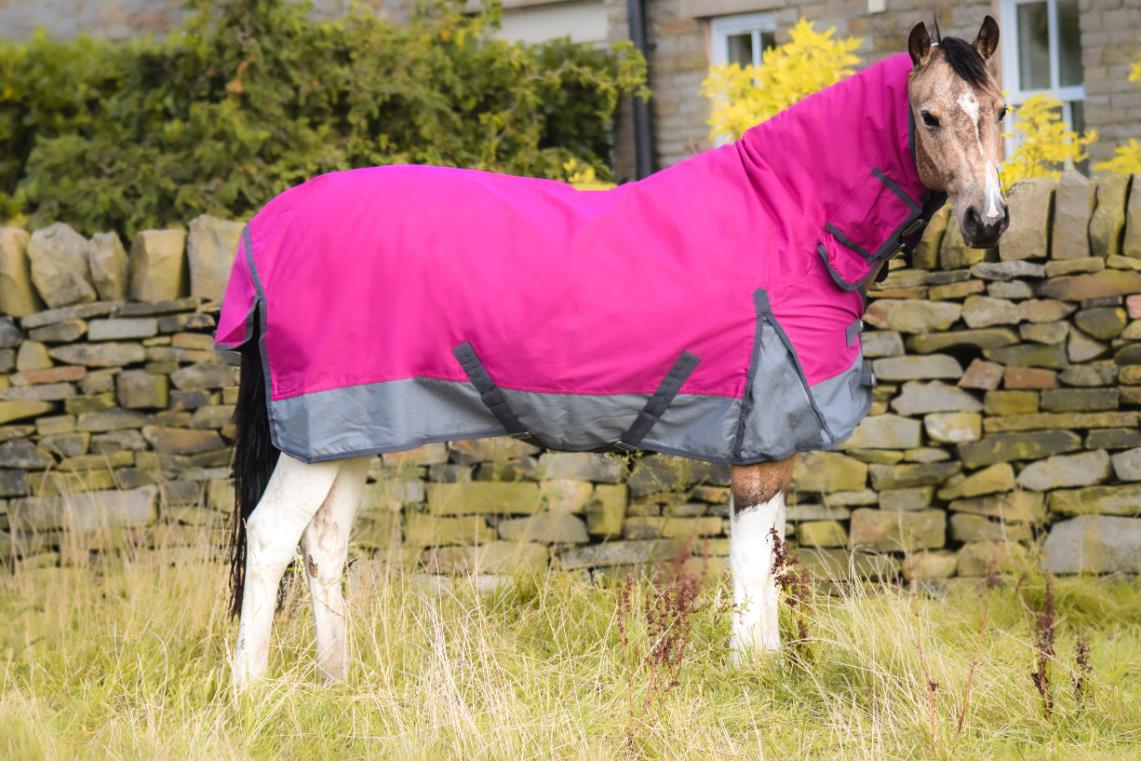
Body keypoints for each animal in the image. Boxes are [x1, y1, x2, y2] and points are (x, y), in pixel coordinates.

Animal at [218, 17, 1010, 689]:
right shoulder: (757, 439)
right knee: (271, 535)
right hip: (317, 426)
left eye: (999, 112)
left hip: (349, 426)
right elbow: (752, 563)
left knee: (323, 543)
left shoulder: (771, 442)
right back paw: (249, 690)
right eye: (929, 116)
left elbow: (769, 554)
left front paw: (764, 668)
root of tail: (267, 228)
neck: (789, 220)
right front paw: (750, 673)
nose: (988, 221)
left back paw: (338, 680)